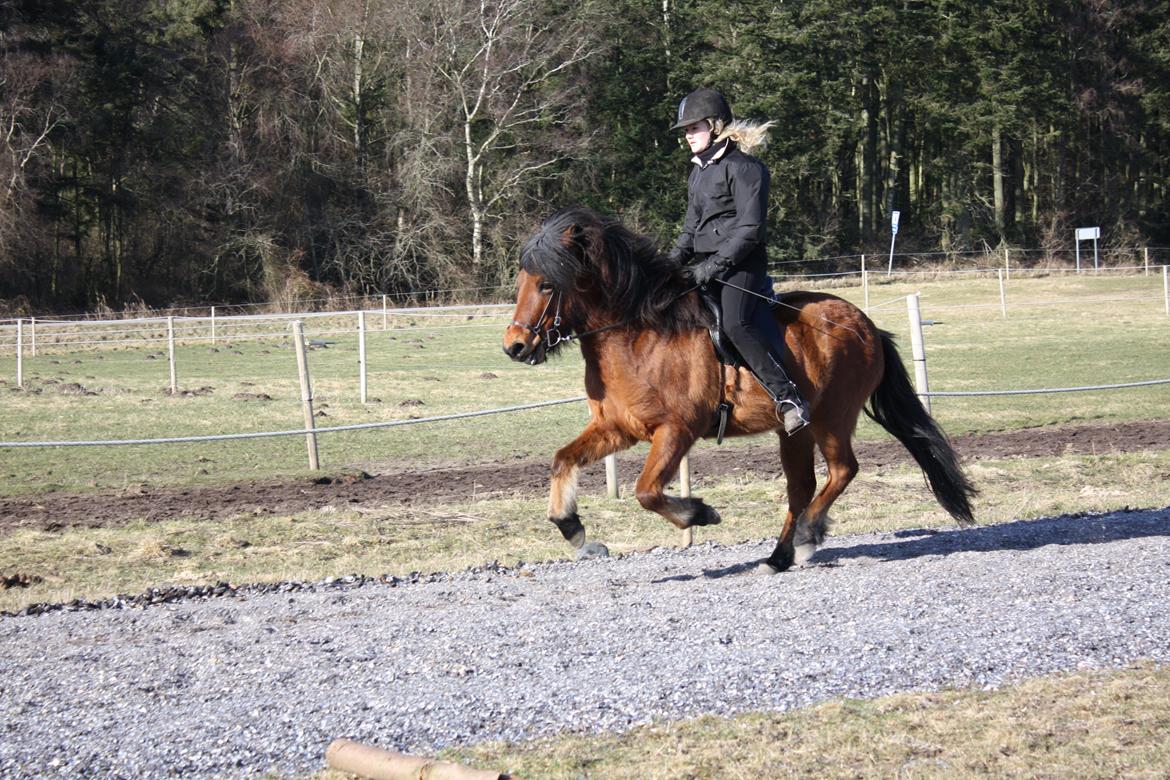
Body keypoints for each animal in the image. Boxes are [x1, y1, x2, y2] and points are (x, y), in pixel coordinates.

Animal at [498, 205, 973, 573]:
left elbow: (647, 491)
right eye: (521, 281)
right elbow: (562, 461)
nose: (514, 346)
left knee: (842, 471)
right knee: (801, 487)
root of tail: (867, 323)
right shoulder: (618, 428)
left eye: (546, 284)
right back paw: (778, 558)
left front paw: (700, 513)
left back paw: (807, 536)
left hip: (833, 417)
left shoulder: (677, 431)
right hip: (794, 431)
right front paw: (577, 534)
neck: (637, 335)